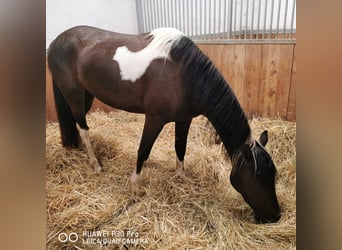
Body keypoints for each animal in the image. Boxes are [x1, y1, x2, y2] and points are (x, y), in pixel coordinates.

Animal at [47, 26, 280, 224]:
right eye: (258, 177)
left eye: (273, 174)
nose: (275, 216)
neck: (184, 74)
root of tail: (56, 41)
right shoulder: (154, 119)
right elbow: (143, 150)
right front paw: (134, 184)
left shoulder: (184, 118)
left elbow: (180, 147)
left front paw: (181, 177)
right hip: (75, 95)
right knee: (84, 129)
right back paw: (95, 165)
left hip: (87, 95)